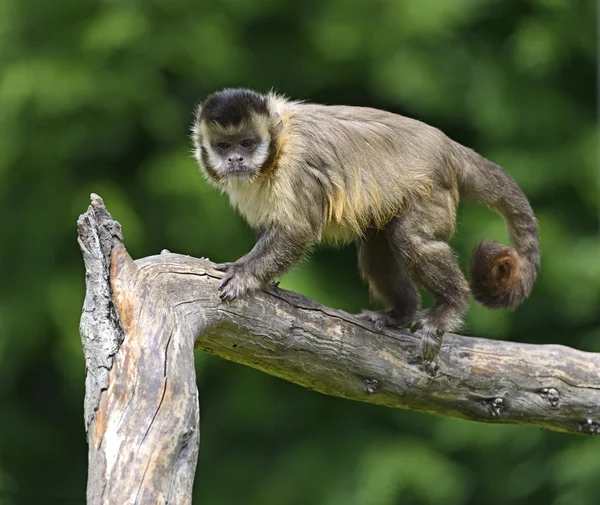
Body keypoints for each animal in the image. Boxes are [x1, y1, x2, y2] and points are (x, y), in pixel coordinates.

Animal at [191, 88, 540, 360]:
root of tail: (450, 148)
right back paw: (400, 313)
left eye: (247, 143)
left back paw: (450, 307)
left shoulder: (296, 167)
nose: (236, 159)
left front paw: (245, 274)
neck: (276, 150)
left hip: (434, 188)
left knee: (410, 238)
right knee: (377, 247)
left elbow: (296, 231)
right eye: (224, 146)